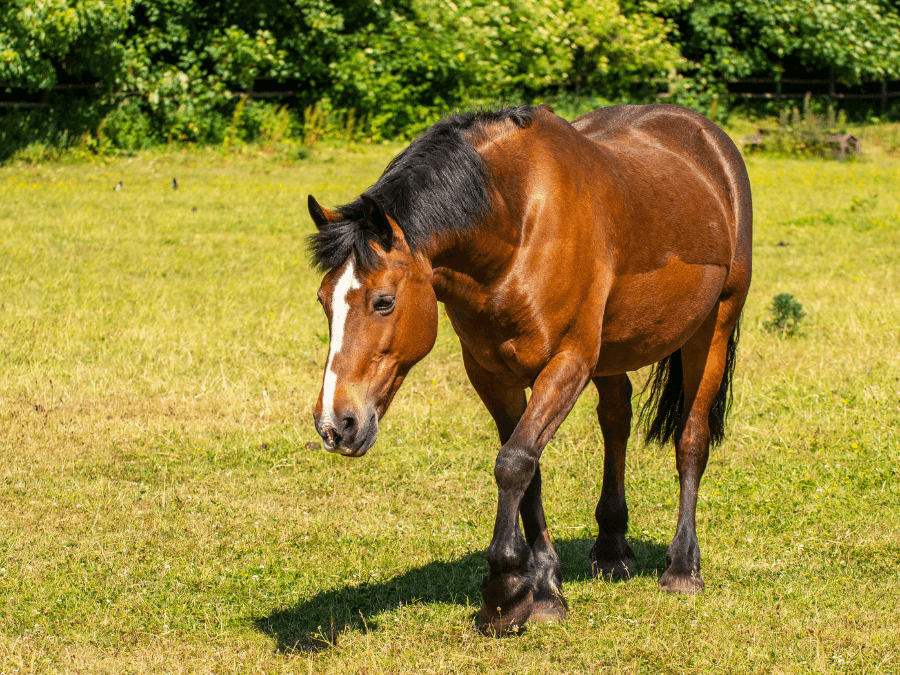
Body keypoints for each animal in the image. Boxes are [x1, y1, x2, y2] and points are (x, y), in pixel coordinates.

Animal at [308, 104, 752, 632]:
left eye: (383, 301)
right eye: (323, 301)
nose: (335, 424)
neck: (517, 227)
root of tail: (709, 138)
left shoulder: (568, 363)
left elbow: (515, 461)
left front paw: (504, 591)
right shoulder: (490, 373)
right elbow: (527, 467)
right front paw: (542, 586)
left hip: (715, 326)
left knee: (691, 439)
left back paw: (683, 566)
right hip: (612, 352)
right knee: (616, 421)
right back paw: (612, 549)